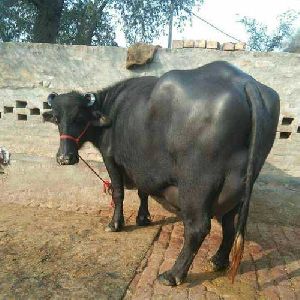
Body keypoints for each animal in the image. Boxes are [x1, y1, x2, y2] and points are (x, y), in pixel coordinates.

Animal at [43, 61, 280, 286]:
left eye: (79, 117)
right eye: (56, 118)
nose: (64, 158)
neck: (112, 110)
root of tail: (245, 83)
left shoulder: (111, 159)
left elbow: (118, 193)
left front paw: (115, 224)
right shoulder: (142, 166)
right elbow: (143, 191)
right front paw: (143, 218)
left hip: (196, 187)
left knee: (198, 228)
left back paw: (173, 275)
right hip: (238, 187)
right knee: (231, 224)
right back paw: (218, 260)